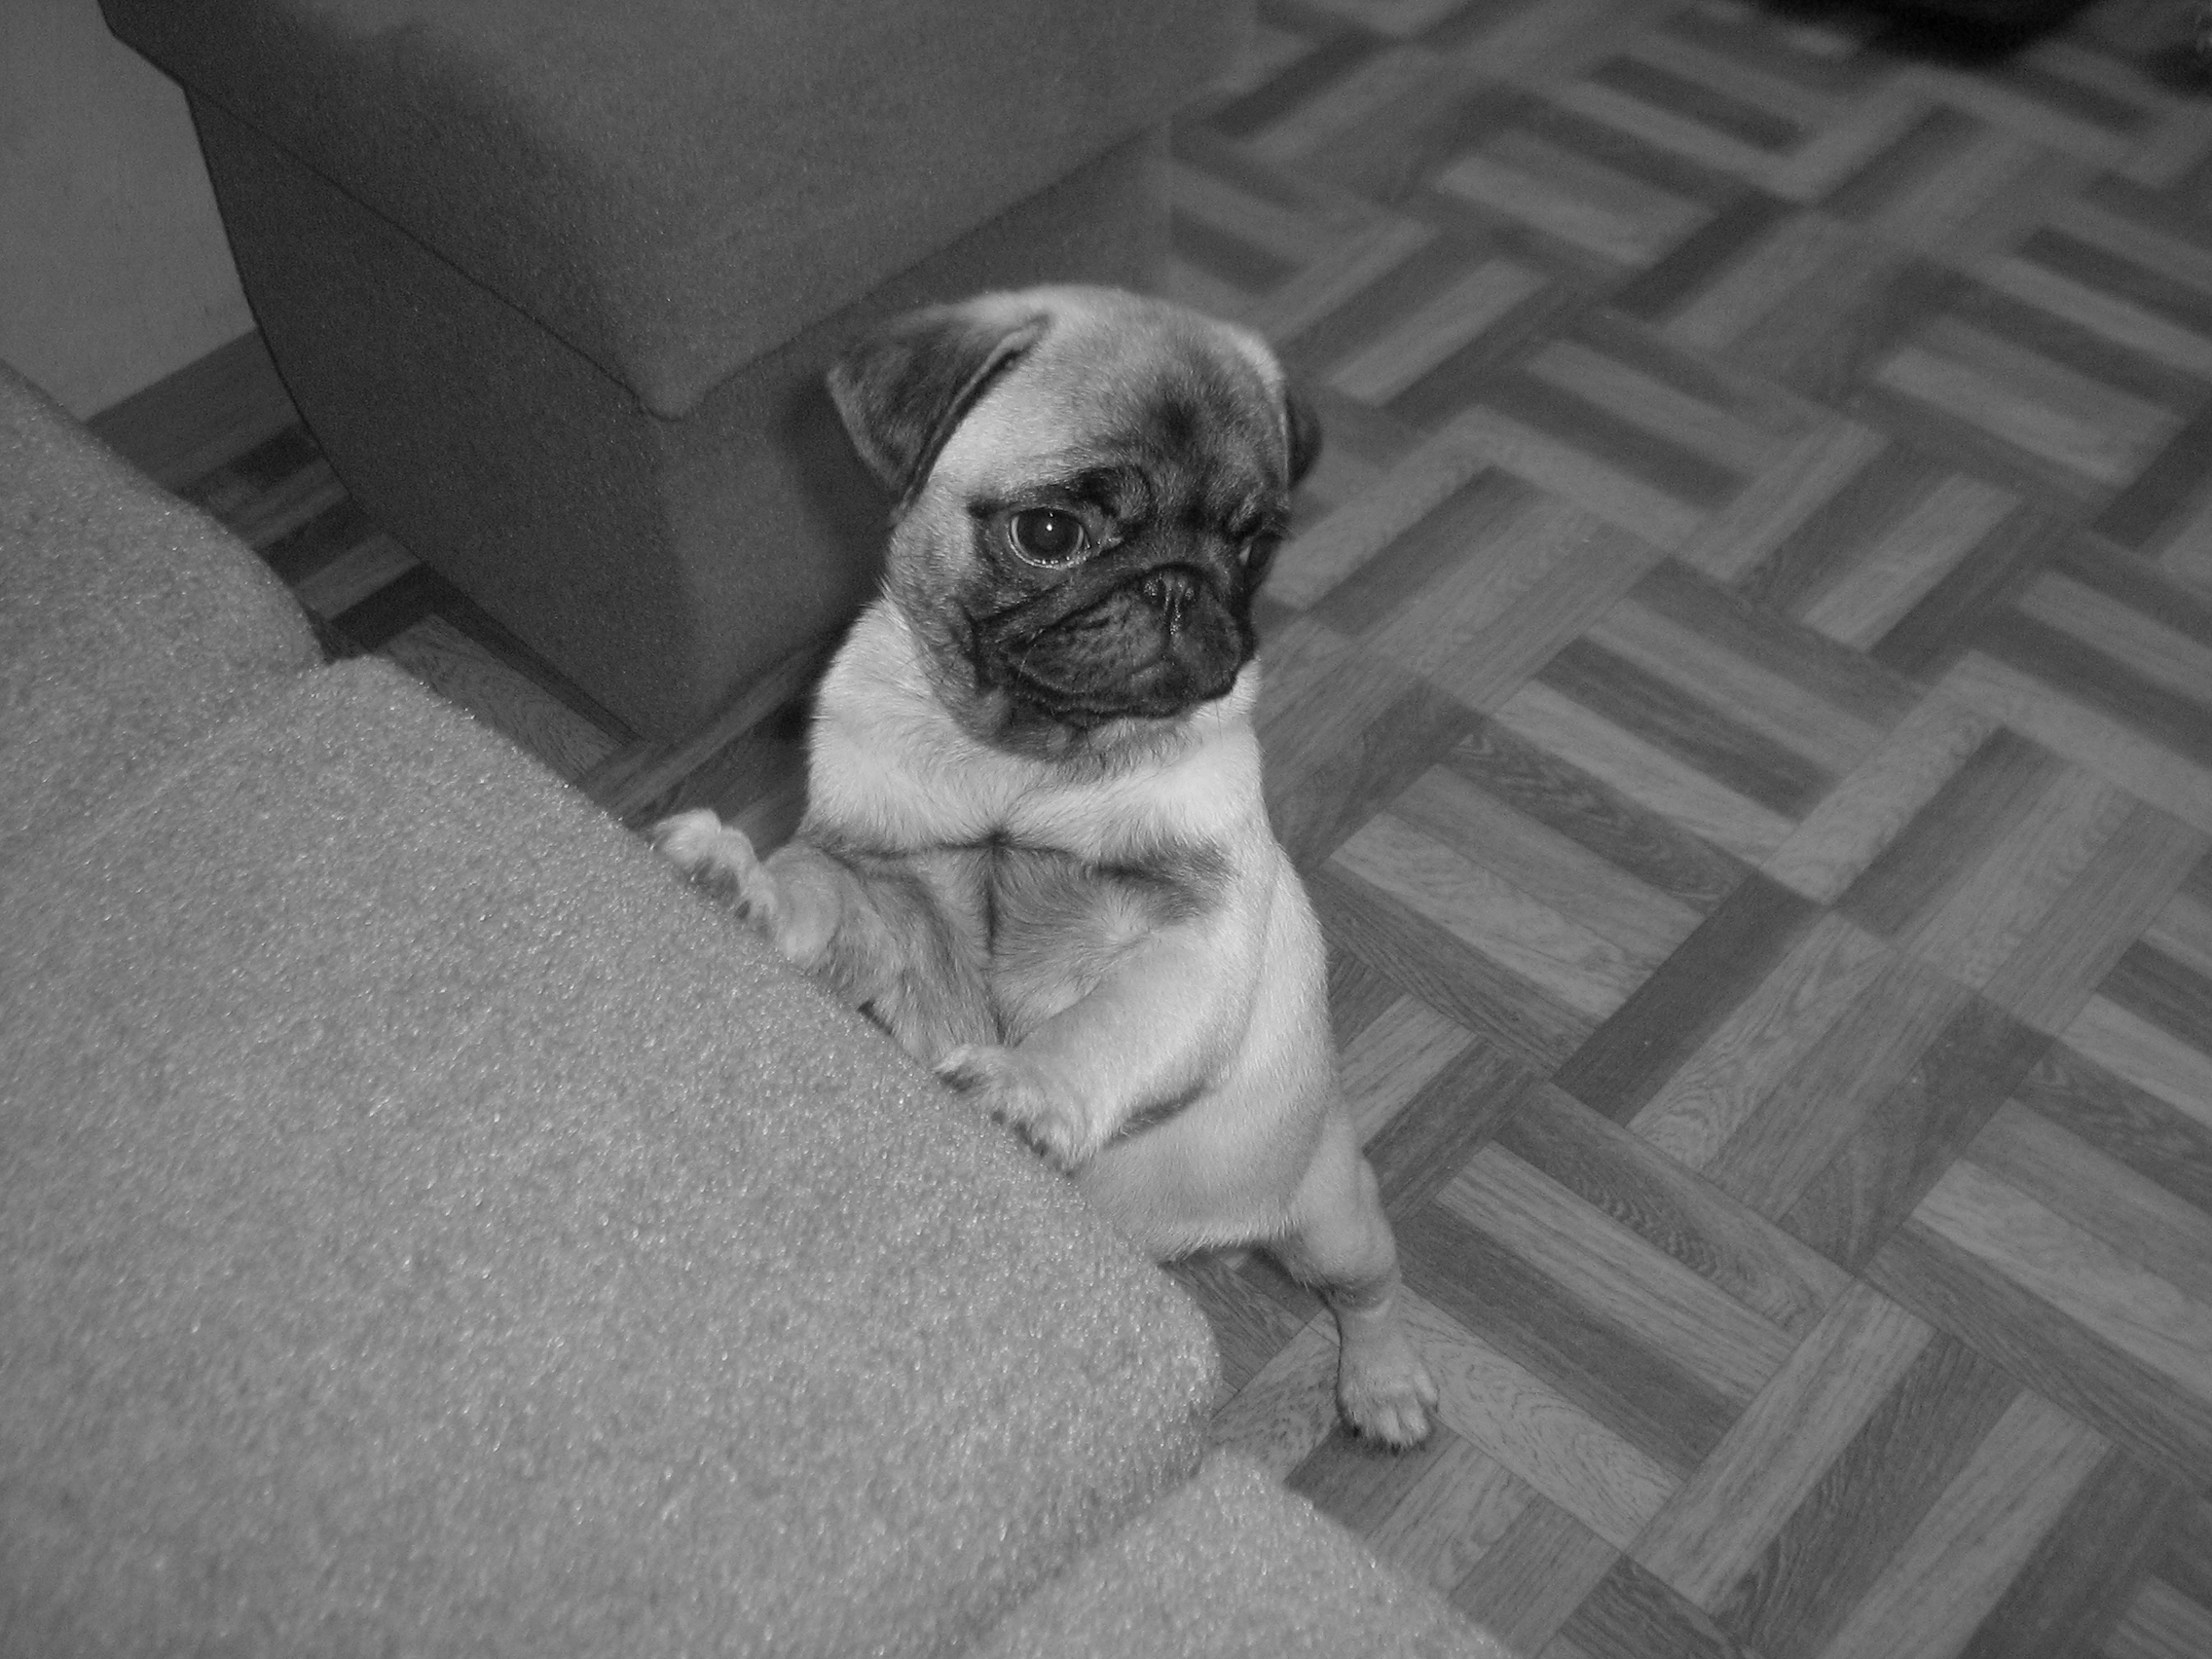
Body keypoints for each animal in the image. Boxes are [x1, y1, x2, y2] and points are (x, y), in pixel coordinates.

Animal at [652, 286, 1437, 1446]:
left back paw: (1384, 1383)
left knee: (1370, 1287)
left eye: (1254, 547)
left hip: (1328, 1214)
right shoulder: (886, 889)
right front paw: (736, 879)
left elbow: (1108, 1023)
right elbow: (817, 889)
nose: (1179, 586)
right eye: (1050, 533)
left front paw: (1029, 1086)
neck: (1020, 765)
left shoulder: (1192, 936)